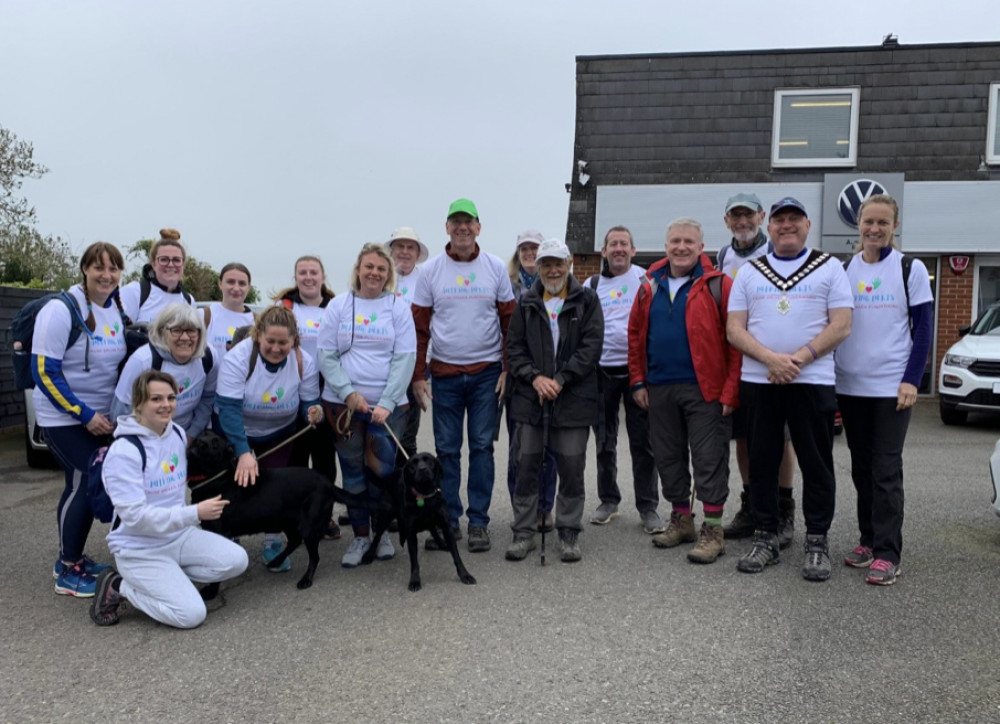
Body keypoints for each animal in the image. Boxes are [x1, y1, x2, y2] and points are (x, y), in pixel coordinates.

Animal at [187, 430, 368, 592]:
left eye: (215, 444)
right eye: (203, 434)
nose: (199, 442)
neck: (216, 477)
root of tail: (328, 483)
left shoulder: (219, 532)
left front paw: (211, 591)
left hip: (307, 525)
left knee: (314, 557)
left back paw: (305, 579)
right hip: (286, 520)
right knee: (295, 540)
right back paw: (276, 561)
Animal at [362, 452, 478, 592]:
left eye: (430, 461)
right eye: (413, 464)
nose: (422, 469)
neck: (425, 496)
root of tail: (390, 477)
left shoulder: (446, 526)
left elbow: (456, 556)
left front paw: (465, 575)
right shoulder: (411, 533)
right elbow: (414, 561)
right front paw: (415, 580)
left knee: (433, 529)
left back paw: (442, 543)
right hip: (385, 517)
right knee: (377, 536)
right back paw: (369, 554)